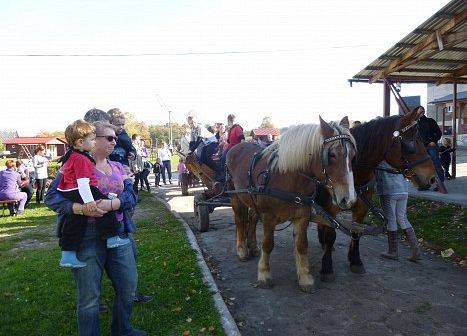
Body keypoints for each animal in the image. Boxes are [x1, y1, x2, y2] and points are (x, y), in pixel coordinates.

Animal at [229, 117, 356, 292]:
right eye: (332, 155)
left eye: (353, 156)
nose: (348, 199)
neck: (287, 178)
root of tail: (235, 148)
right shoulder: (268, 217)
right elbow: (268, 244)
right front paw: (264, 274)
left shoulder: (302, 215)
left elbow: (302, 245)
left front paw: (305, 277)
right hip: (236, 196)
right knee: (240, 220)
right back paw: (242, 250)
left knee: (252, 219)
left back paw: (253, 247)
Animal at [316, 108, 436, 280]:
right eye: (412, 142)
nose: (432, 178)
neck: (354, 173)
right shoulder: (331, 208)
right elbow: (331, 235)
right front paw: (327, 268)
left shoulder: (361, 208)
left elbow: (356, 232)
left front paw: (355, 261)